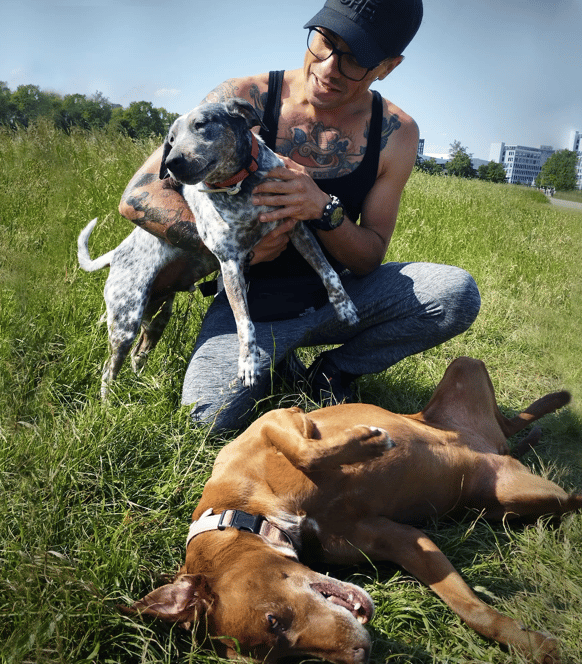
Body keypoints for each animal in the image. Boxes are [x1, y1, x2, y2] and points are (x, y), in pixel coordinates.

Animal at [79, 99, 358, 396]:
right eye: (171, 139)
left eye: (201, 124)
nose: (171, 162)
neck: (239, 186)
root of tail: (114, 255)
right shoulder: (230, 262)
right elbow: (244, 322)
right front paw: (248, 364)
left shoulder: (297, 228)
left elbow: (328, 272)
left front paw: (345, 308)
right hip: (125, 322)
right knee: (108, 370)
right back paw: (108, 402)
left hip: (157, 317)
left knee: (138, 355)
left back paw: (143, 384)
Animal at [121, 358, 580, 664]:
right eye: (286, 656)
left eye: (273, 621)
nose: (361, 652)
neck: (243, 508)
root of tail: (490, 444)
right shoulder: (403, 540)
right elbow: (471, 609)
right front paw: (530, 643)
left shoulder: (278, 417)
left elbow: (305, 449)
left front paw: (369, 443)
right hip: (516, 498)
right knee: (531, 459)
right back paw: (534, 435)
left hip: (466, 370)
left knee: (513, 429)